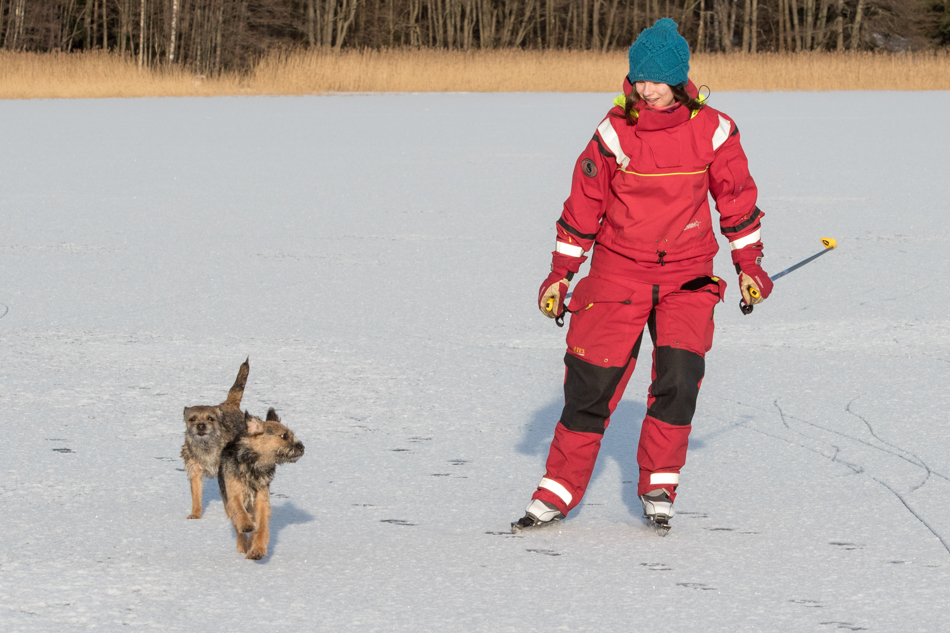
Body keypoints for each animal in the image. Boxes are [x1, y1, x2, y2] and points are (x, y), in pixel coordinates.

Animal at [180, 358, 249, 516]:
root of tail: (229, 403)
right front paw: (195, 514)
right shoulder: (195, 470)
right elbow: (196, 494)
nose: (201, 425)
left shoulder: (224, 473)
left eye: (210, 419)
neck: (207, 445)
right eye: (192, 419)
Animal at [219, 404, 304, 556]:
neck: (254, 465)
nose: (302, 447)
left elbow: (262, 525)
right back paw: (243, 544)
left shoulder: (261, 500)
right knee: (237, 526)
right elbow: (240, 511)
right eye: (283, 436)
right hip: (227, 505)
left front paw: (258, 547)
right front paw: (246, 525)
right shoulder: (234, 493)